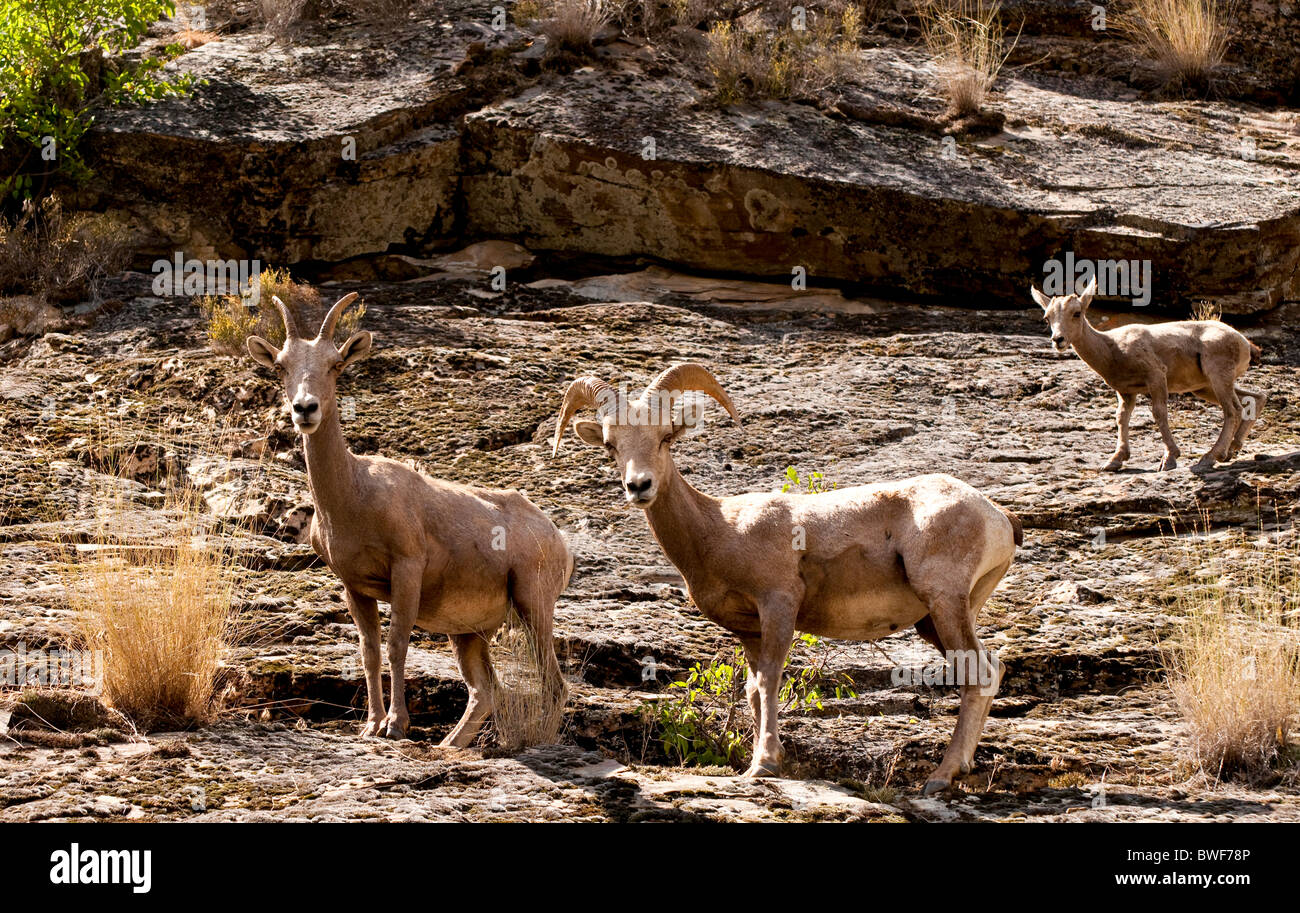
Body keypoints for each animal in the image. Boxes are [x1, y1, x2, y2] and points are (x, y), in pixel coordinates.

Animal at [247, 293, 570, 744]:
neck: (355, 495)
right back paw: (452, 745)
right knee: (484, 691)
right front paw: (371, 725)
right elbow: (370, 650)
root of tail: (557, 539)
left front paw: (396, 725)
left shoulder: (407, 570)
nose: (304, 409)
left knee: (553, 684)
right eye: (280, 365)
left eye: (336, 363)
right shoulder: (355, 587)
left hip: (532, 606)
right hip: (467, 634)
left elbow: (398, 643)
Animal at [552, 363, 1021, 795]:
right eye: (611, 446)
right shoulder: (749, 630)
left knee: (979, 674)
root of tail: (997, 516)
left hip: (944, 603)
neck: (718, 529)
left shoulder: (779, 605)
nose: (639, 486)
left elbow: (770, 681)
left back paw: (940, 778)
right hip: (935, 620)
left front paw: (763, 765)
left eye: (666, 437)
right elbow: (752, 690)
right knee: (990, 670)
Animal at [1032, 278, 1265, 472]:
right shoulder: (1126, 392)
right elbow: (1121, 417)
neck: (1111, 349)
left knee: (1233, 410)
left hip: (1217, 376)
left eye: (1077, 313)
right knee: (1254, 399)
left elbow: (1159, 413)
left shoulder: (1156, 377)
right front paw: (1114, 461)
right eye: (1047, 317)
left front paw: (1169, 459)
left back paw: (1209, 458)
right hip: (1205, 387)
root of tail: (1245, 344)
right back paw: (1232, 449)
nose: (1058, 340)